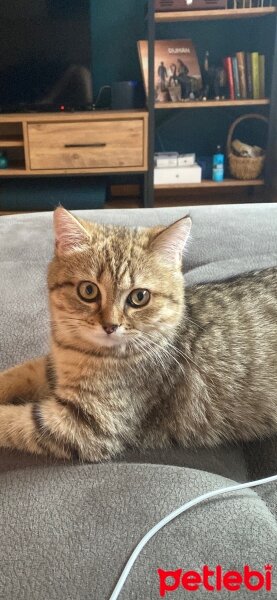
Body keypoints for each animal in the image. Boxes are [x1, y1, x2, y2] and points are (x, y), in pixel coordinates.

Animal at [0, 205, 274, 460]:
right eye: (88, 290)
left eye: (139, 297)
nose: (110, 326)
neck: (76, 350)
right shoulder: (51, 366)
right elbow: (19, 373)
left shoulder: (88, 424)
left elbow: (14, 420)